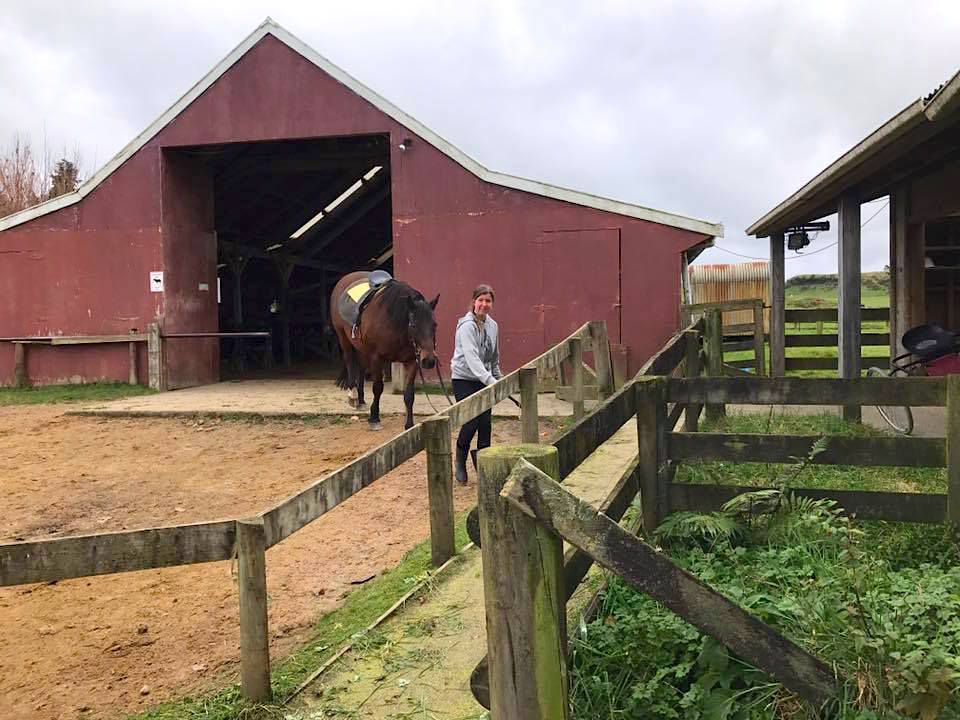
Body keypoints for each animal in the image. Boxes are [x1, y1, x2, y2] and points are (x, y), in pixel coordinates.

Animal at [328, 270, 436, 428]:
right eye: (413, 325)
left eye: (434, 325)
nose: (429, 361)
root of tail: (346, 278)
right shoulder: (377, 358)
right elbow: (378, 387)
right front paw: (374, 418)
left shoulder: (412, 361)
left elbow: (409, 393)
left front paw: (409, 425)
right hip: (343, 337)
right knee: (350, 362)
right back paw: (353, 397)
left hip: (361, 347)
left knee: (361, 367)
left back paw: (361, 401)